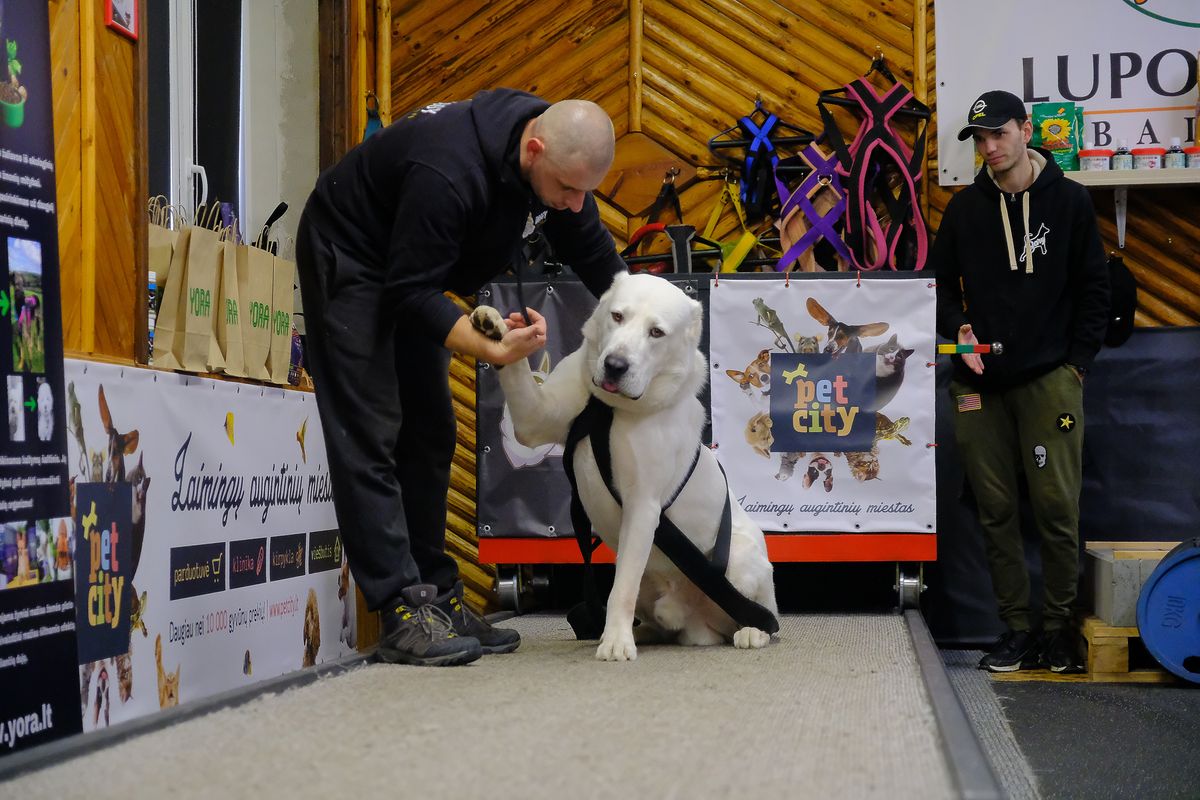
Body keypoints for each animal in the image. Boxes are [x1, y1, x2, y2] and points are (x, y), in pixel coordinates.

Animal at [468, 272, 777, 662]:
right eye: (617, 316)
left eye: (656, 332)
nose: (615, 365)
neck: (609, 408)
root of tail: (697, 628)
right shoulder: (532, 420)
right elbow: (518, 375)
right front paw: (497, 328)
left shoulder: (642, 505)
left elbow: (621, 590)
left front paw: (616, 642)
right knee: (659, 623)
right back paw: (637, 633)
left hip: (740, 560)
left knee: (757, 613)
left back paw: (751, 631)